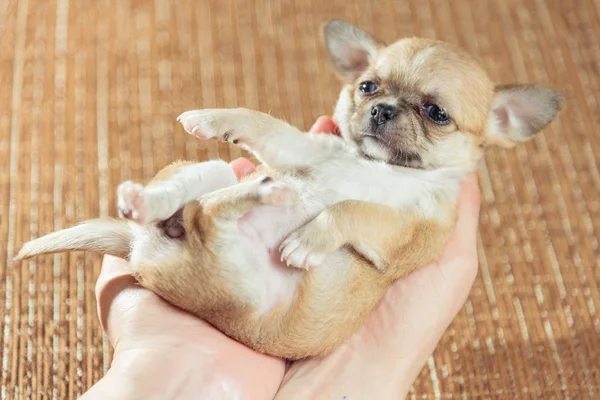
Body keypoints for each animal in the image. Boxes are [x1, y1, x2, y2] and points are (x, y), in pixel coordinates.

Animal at [16, 20, 564, 360]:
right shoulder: (301, 150)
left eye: (436, 113)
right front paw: (213, 116)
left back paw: (260, 197)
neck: (374, 165)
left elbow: (353, 208)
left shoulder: (408, 230)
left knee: (210, 217)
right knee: (200, 203)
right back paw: (151, 199)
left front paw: (306, 241)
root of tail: (141, 250)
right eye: (368, 86)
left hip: (236, 282)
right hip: (213, 178)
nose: (382, 109)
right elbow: (261, 122)